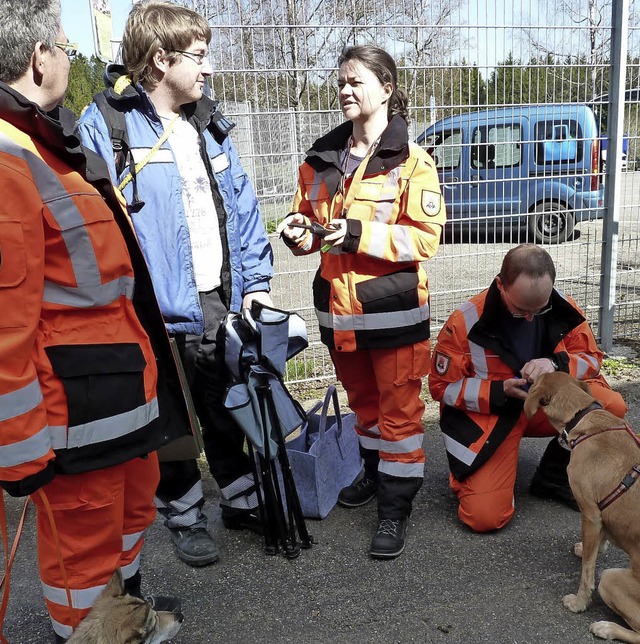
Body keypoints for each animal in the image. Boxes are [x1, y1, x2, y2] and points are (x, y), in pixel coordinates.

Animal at [524, 372, 640, 644]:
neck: (585, 416)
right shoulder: (598, 516)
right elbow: (596, 544)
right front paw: (592, 547)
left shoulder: (589, 512)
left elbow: (587, 571)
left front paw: (578, 603)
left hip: (609, 578)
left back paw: (606, 628)